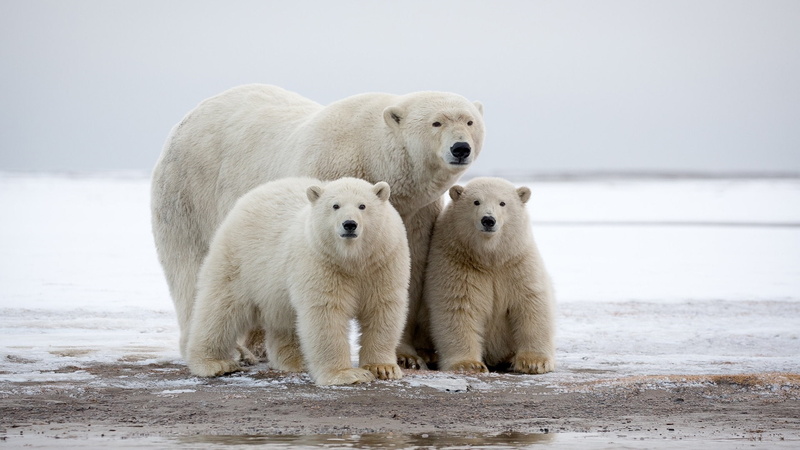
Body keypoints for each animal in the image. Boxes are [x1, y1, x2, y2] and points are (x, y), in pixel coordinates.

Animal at [185, 178, 410, 384]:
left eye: (362, 206)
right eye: (335, 205)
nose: (349, 224)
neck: (352, 260)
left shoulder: (382, 262)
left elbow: (383, 308)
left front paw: (383, 368)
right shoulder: (322, 262)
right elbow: (326, 314)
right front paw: (347, 374)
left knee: (284, 319)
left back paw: (295, 360)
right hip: (239, 259)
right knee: (221, 308)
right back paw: (214, 363)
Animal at [424, 178, 556, 374]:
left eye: (502, 203)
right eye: (476, 201)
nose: (488, 220)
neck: (490, 259)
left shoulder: (518, 263)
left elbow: (531, 304)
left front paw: (534, 362)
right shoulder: (456, 265)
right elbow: (458, 308)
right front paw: (468, 364)